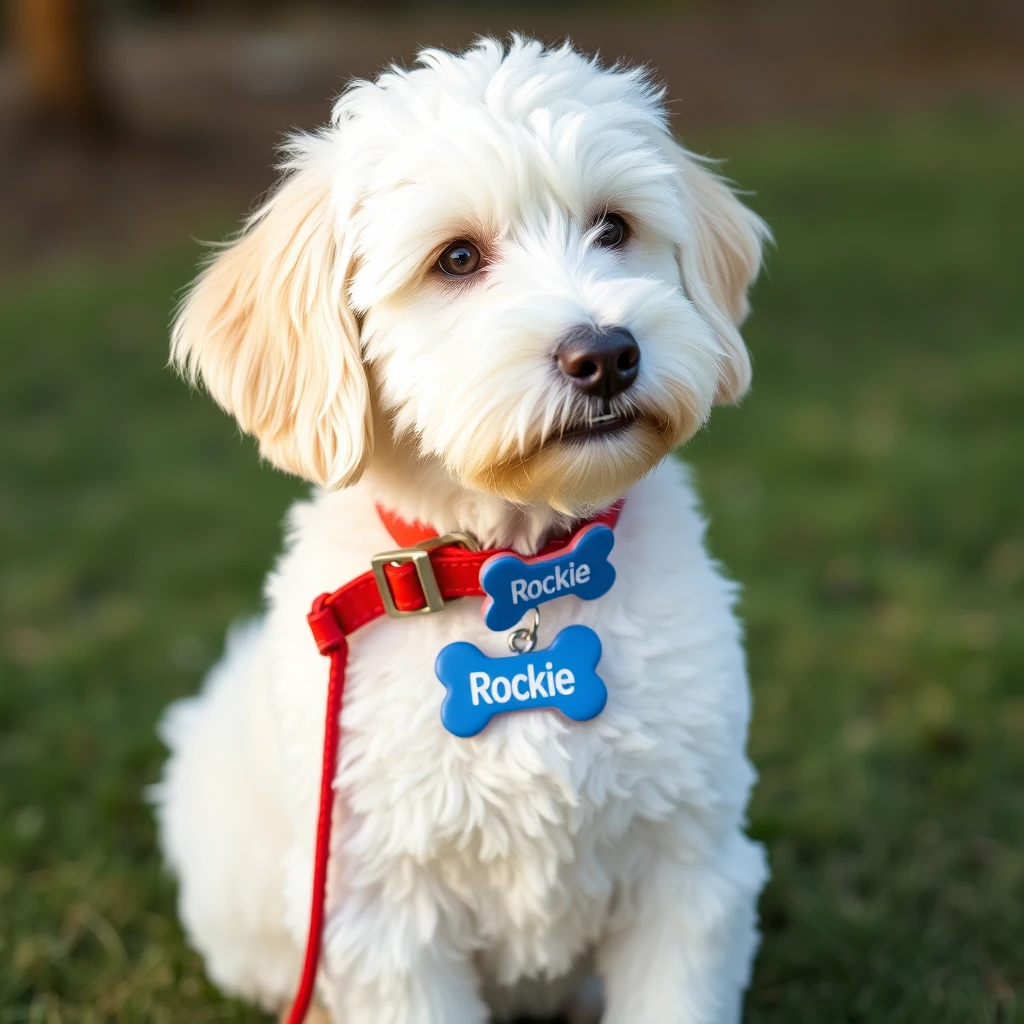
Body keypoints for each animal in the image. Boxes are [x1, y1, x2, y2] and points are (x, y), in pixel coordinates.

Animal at [153, 34, 770, 1024]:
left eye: (612, 228)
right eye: (455, 258)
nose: (606, 354)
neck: (517, 566)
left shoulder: (689, 868)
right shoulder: (379, 914)